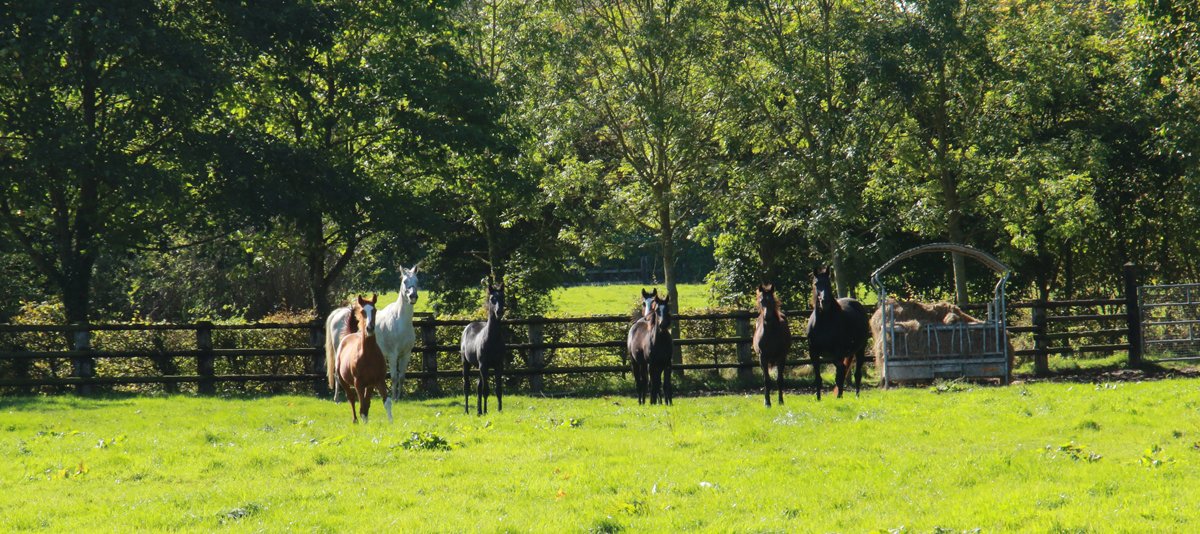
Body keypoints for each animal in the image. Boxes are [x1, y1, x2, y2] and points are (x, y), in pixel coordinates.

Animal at [325, 265, 419, 401]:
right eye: (405, 281)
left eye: (417, 281)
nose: (413, 296)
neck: (399, 320)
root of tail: (338, 313)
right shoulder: (392, 354)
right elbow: (394, 377)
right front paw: (394, 398)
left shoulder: (406, 354)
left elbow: (401, 377)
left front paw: (398, 398)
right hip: (338, 352)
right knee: (337, 375)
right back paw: (337, 399)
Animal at [331, 295, 393, 424]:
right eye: (362, 311)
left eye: (374, 310)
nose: (370, 328)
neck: (368, 355)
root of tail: (347, 336)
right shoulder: (358, 384)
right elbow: (362, 407)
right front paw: (365, 424)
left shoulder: (378, 381)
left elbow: (386, 402)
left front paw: (391, 423)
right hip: (343, 380)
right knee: (351, 398)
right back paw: (355, 420)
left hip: (368, 386)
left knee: (366, 402)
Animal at [461, 281, 505, 415]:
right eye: (492, 298)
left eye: (503, 297)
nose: (499, 312)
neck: (492, 339)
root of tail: (468, 327)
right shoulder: (484, 365)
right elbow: (486, 389)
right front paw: (486, 411)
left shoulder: (498, 365)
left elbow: (498, 389)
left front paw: (499, 410)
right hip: (466, 363)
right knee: (467, 386)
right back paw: (467, 410)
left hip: (478, 366)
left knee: (478, 386)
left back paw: (479, 411)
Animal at [805, 266, 871, 400]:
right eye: (816, 284)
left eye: (829, 283)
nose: (824, 302)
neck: (823, 323)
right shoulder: (814, 354)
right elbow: (818, 378)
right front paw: (818, 398)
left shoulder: (837, 353)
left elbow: (839, 375)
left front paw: (839, 397)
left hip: (860, 350)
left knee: (856, 374)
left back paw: (856, 395)